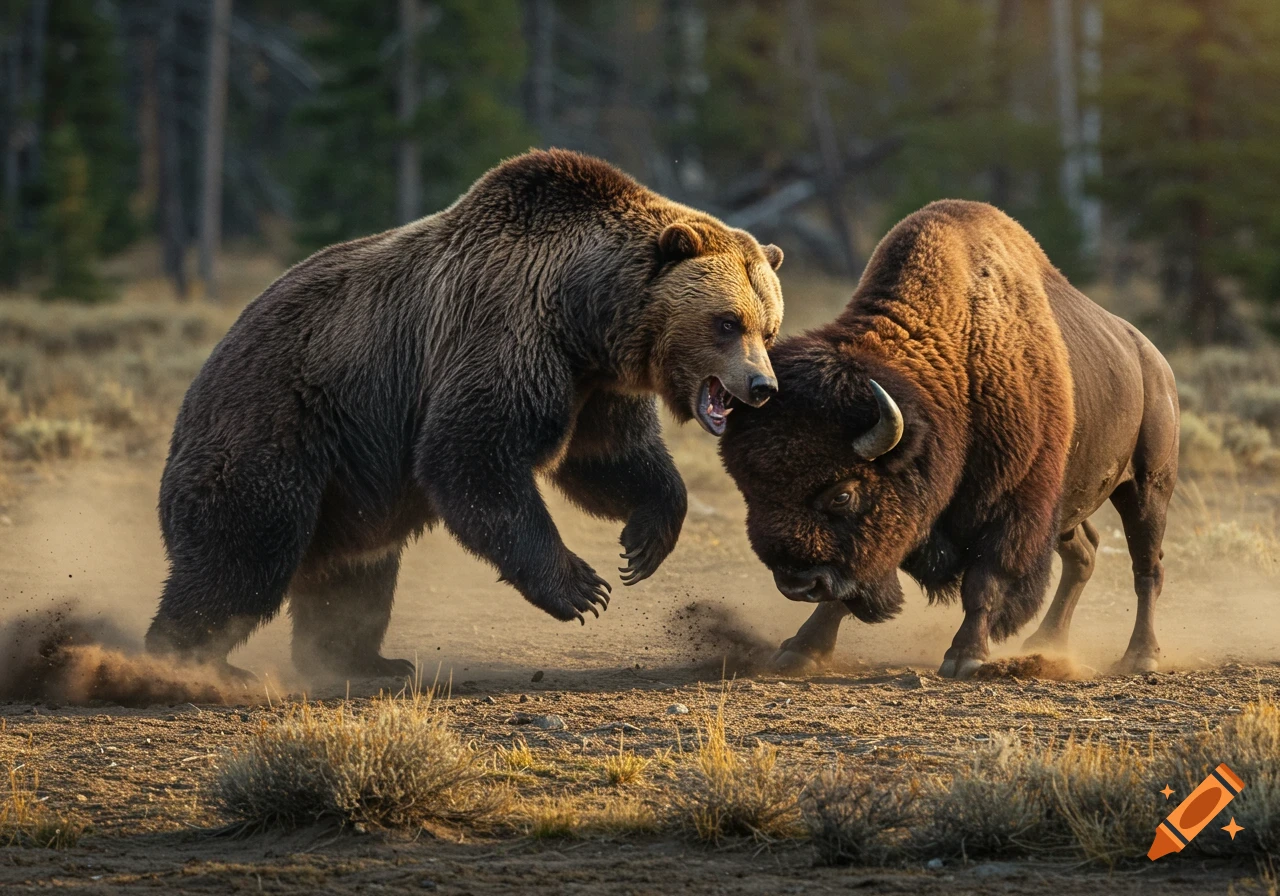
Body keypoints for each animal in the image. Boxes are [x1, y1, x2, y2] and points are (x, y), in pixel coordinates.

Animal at [145, 149, 785, 682]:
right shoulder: (507, 334)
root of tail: (199, 382)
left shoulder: (594, 387)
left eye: (769, 327)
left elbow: (607, 458)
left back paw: (366, 661)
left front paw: (645, 542)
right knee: (243, 552)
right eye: (726, 322)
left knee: (355, 575)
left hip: (347, 483)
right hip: (277, 428)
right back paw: (192, 660)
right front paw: (582, 587)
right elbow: (472, 455)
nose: (761, 386)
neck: (583, 314)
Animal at [720, 200, 1179, 678]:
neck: (957, 366)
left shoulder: (1011, 507)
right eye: (749, 489)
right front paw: (800, 651)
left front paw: (965, 656)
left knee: (1147, 567)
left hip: (1147, 487)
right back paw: (1047, 643)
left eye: (843, 494)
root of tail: (1155, 363)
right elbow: (851, 587)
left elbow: (984, 582)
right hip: (1069, 504)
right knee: (1084, 554)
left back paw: (1140, 656)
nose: (796, 582)